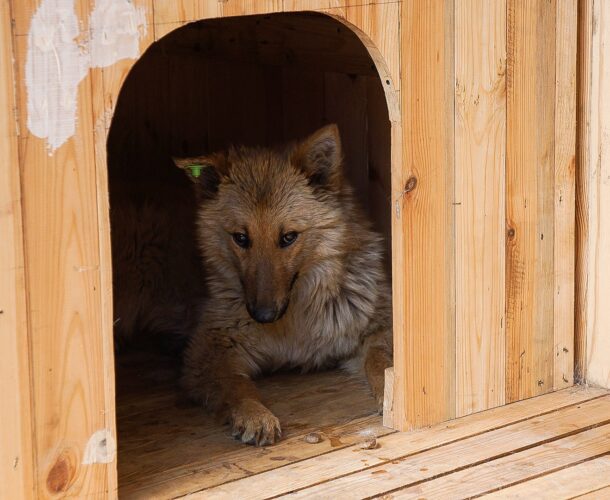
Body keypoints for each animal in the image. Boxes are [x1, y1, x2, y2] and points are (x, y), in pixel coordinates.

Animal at [173, 124, 392, 446]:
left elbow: (380, 361)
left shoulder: (375, 327)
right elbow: (236, 385)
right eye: (241, 238)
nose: (263, 315)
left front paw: (391, 393)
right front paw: (254, 414)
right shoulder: (208, 353)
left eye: (288, 237)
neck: (293, 324)